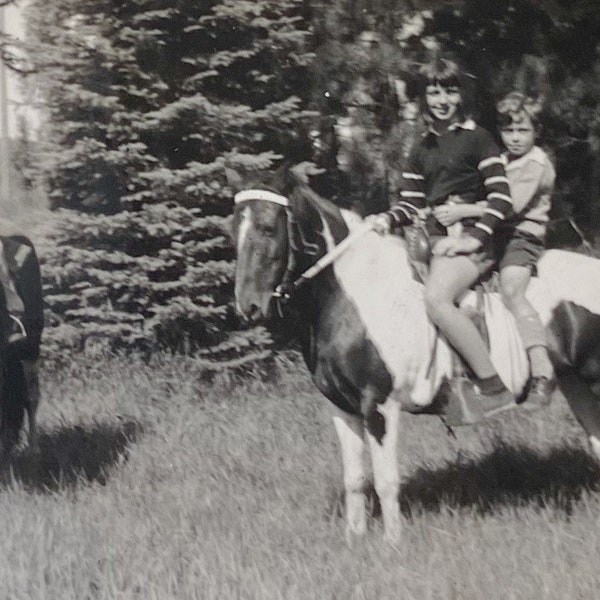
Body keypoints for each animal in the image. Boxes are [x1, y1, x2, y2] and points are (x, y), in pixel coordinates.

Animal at [233, 184, 600, 544]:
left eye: (268, 228)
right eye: (233, 229)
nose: (247, 306)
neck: (360, 296)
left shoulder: (380, 406)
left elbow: (386, 480)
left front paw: (392, 543)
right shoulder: (342, 409)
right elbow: (355, 478)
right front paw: (355, 538)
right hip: (576, 385)